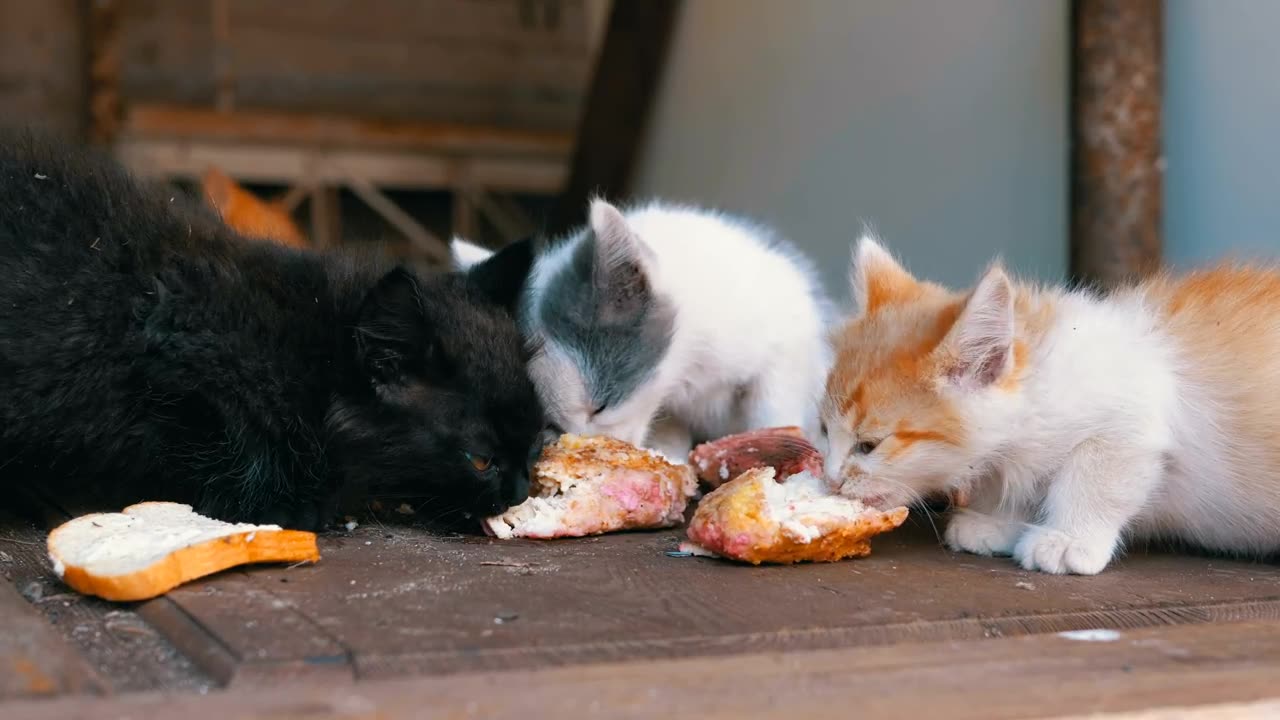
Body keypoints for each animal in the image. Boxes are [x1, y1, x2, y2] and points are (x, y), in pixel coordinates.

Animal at [0, 135, 545, 527]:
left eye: (538, 443)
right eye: (480, 460)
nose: (519, 492)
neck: (311, 355)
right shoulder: (174, 373)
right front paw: (286, 503)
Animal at [819, 235, 1280, 571]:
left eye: (869, 445)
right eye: (824, 431)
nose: (831, 480)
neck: (1039, 386)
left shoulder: (1133, 414)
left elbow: (1094, 477)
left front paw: (1070, 538)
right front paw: (999, 521)